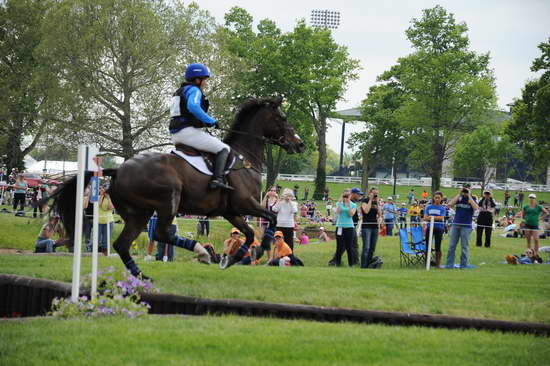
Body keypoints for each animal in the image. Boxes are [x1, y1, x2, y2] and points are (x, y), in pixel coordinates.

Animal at [47, 97, 306, 278]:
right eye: (283, 118)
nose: (300, 144)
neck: (244, 157)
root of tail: (118, 171)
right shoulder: (246, 204)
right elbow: (271, 218)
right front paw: (260, 250)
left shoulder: (231, 211)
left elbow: (250, 232)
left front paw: (233, 259)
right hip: (167, 201)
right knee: (161, 234)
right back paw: (201, 252)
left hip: (138, 213)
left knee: (123, 244)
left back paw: (142, 275)